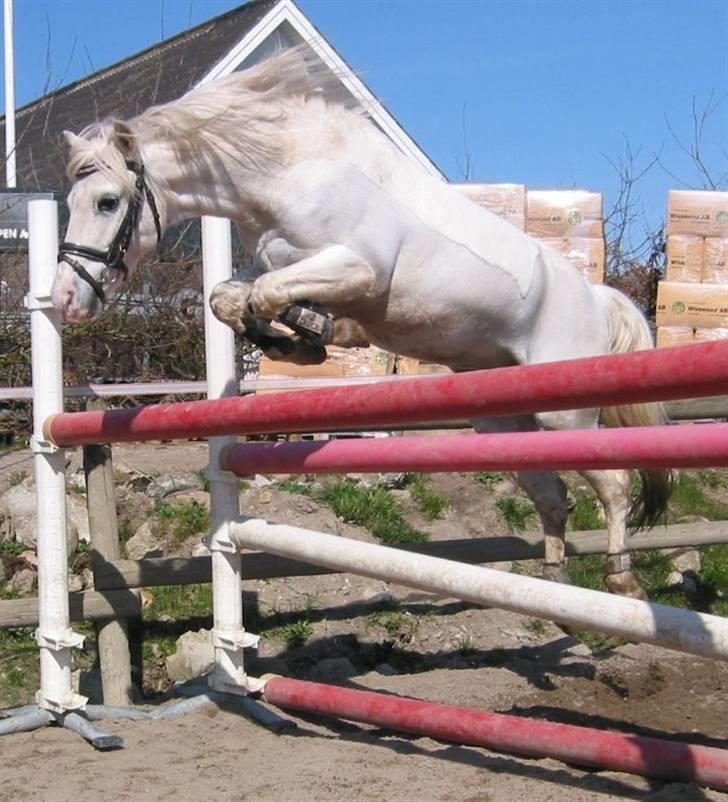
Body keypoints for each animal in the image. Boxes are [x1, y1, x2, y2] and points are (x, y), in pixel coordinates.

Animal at [51, 48, 670, 599]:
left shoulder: (358, 268)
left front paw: (316, 334)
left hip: (565, 410)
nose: (65, 298)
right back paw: (559, 590)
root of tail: (595, 296)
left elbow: (269, 294)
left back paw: (622, 582)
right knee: (552, 494)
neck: (288, 173)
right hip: (503, 420)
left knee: (614, 484)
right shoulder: (274, 262)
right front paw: (304, 337)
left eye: (107, 202)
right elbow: (229, 298)